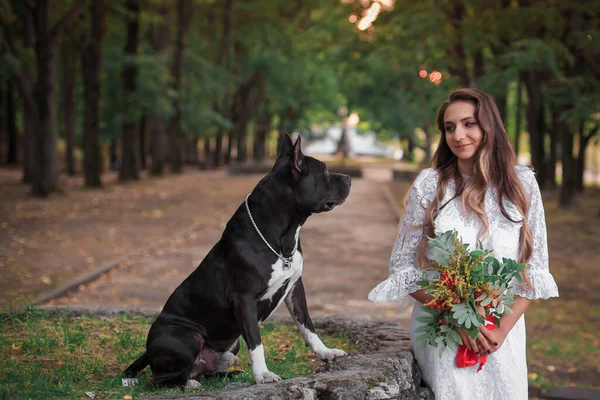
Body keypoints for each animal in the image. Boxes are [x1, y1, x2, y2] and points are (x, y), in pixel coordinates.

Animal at [125, 134, 352, 388]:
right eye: (325, 172)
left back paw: (230, 374)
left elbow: (307, 326)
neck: (283, 234)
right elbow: (256, 341)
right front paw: (263, 374)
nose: (349, 178)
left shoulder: (295, 289)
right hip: (187, 335)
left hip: (229, 348)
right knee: (160, 380)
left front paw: (326, 352)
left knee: (205, 370)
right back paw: (188, 384)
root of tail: (148, 351)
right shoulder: (244, 299)